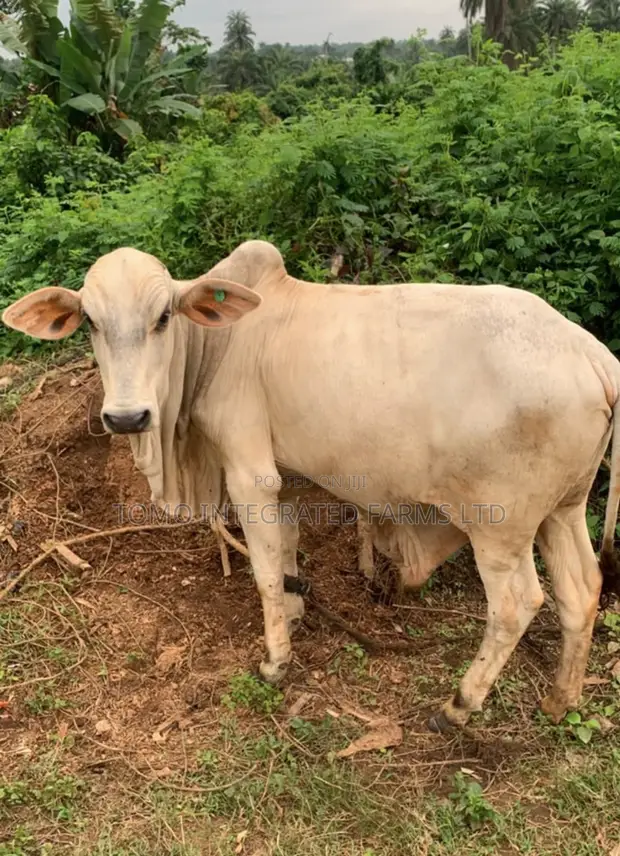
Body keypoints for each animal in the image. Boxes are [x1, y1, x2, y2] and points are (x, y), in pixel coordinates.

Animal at [4, 239, 620, 733]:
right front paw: (297, 612)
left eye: (162, 317)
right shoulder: (288, 477)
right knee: (581, 589)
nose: (127, 417)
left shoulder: (249, 471)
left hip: (501, 527)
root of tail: (591, 353)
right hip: (563, 510)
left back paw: (459, 705)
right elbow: (288, 551)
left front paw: (276, 659)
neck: (219, 345)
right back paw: (560, 700)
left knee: (518, 604)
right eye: (89, 321)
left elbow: (262, 568)